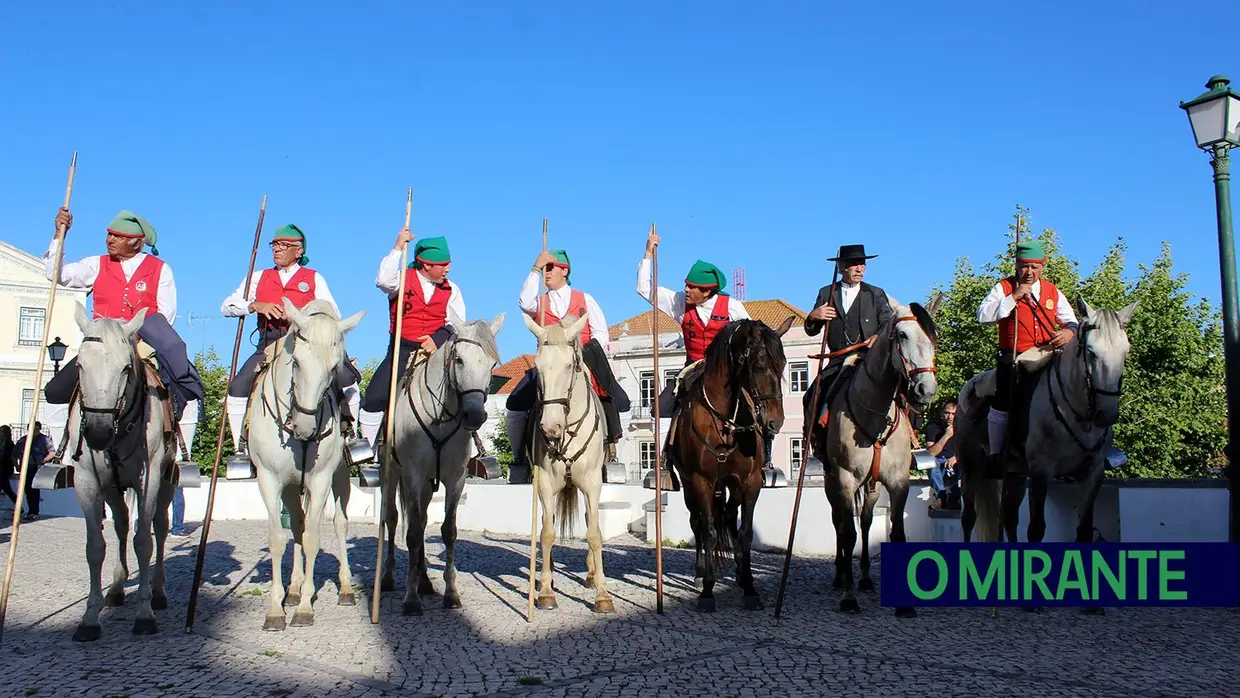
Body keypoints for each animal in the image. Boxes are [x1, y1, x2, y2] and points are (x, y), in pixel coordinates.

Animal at [63, 303, 176, 639]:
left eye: (126, 368)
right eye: (80, 366)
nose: (98, 433)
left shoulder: (149, 480)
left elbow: (144, 542)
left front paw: (145, 613)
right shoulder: (87, 482)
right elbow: (95, 547)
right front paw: (90, 617)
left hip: (166, 484)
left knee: (159, 528)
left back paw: (158, 592)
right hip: (114, 488)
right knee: (122, 525)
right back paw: (115, 587)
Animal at [245, 297, 362, 629]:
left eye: (334, 369)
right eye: (296, 362)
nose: (306, 428)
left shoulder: (320, 479)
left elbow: (312, 538)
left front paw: (305, 608)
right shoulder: (269, 480)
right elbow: (278, 538)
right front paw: (276, 609)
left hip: (340, 478)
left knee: (339, 524)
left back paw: (344, 588)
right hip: (289, 487)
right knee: (296, 524)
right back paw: (294, 588)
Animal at [374, 317, 500, 617]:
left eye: (492, 364)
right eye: (459, 359)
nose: (475, 415)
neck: (440, 417)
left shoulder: (455, 479)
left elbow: (447, 531)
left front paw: (450, 593)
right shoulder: (412, 474)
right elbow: (411, 533)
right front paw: (410, 600)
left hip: (426, 486)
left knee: (420, 522)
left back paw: (424, 582)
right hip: (392, 475)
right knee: (393, 519)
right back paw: (389, 578)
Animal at [520, 313, 612, 614]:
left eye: (570, 365)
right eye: (537, 367)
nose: (551, 428)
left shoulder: (593, 483)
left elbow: (594, 533)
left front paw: (603, 595)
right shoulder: (546, 484)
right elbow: (547, 533)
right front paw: (546, 592)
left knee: (588, 520)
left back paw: (592, 576)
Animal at [669, 317, 793, 612]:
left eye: (783, 365)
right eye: (758, 366)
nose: (775, 422)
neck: (724, 418)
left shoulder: (750, 483)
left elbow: (745, 532)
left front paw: (749, 586)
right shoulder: (701, 482)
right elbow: (709, 532)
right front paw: (707, 591)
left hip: (731, 486)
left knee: (727, 514)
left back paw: (738, 571)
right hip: (691, 487)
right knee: (698, 523)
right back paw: (700, 572)